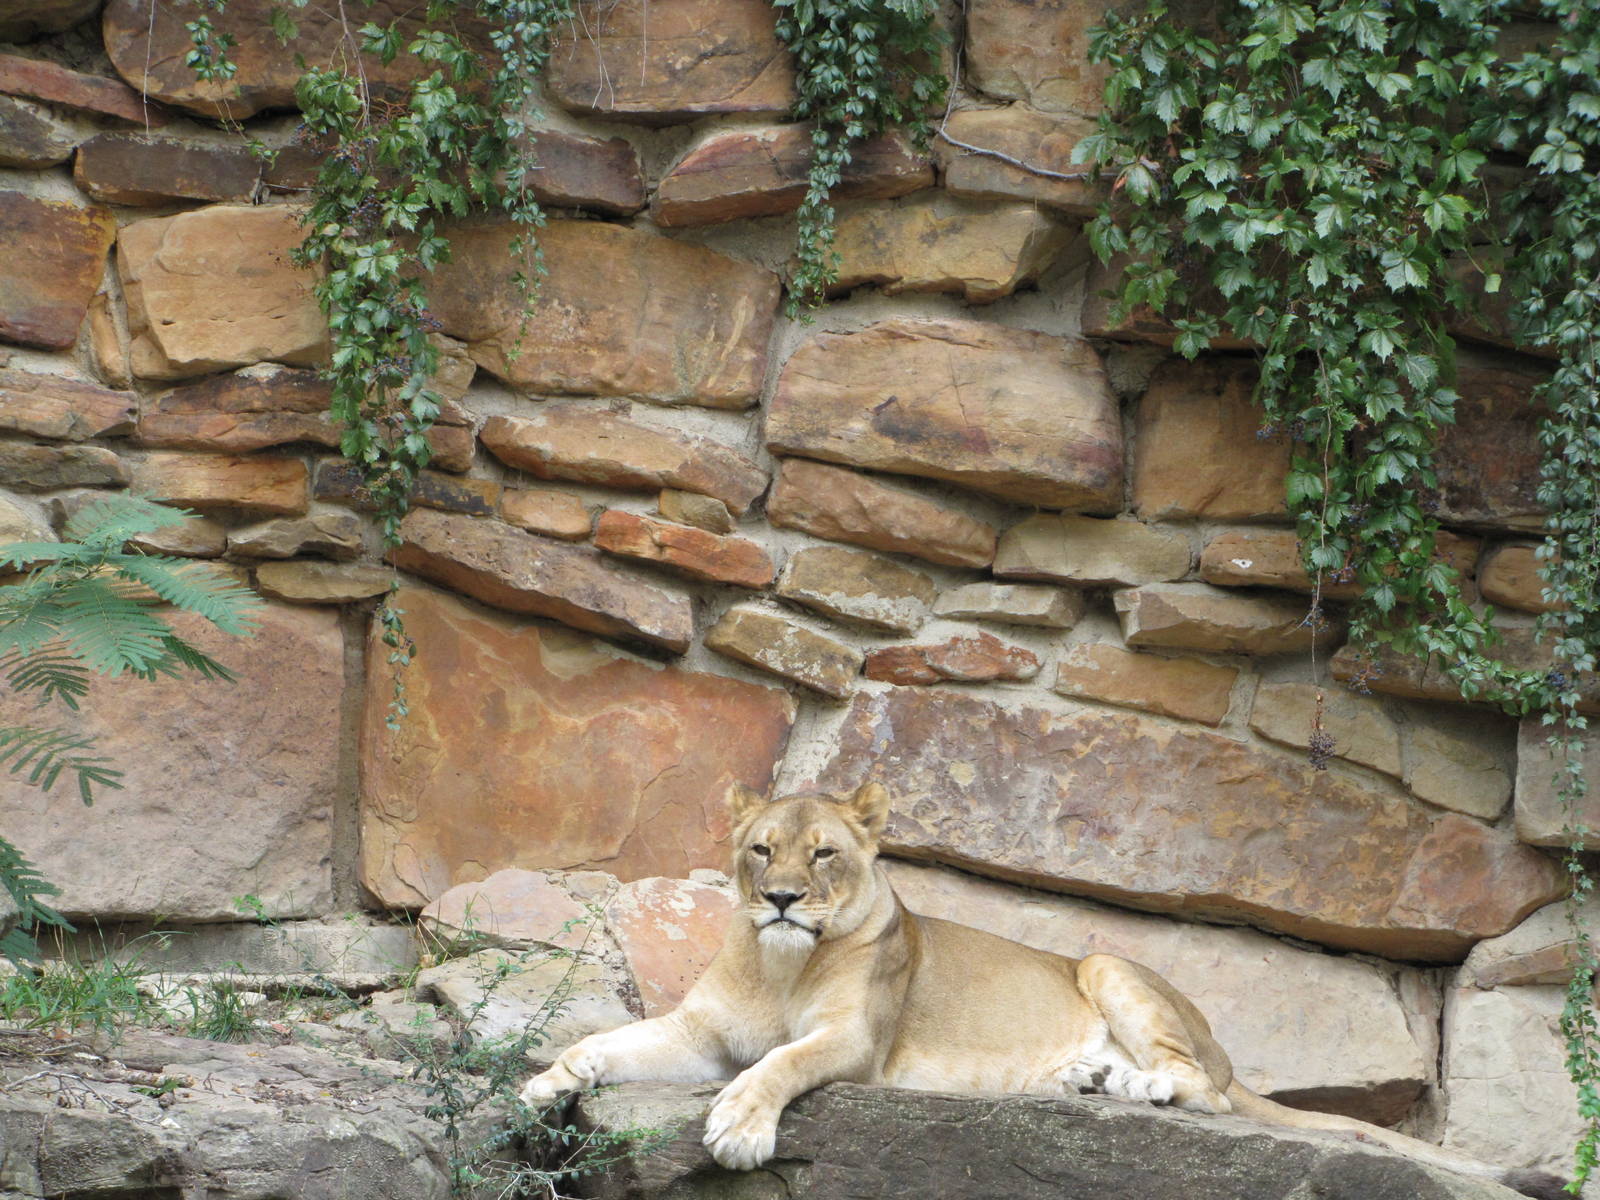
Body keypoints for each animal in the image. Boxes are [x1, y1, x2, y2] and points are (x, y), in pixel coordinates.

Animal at [521, 782, 1564, 1198]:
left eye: (822, 855)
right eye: (759, 849)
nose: (778, 898)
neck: (781, 962)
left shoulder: (855, 1044)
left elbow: (778, 1065)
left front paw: (739, 1128)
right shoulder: (697, 1033)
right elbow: (604, 1045)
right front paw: (543, 1084)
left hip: (1109, 966)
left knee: (1209, 1092)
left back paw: (1134, 1083)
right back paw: (1084, 1080)